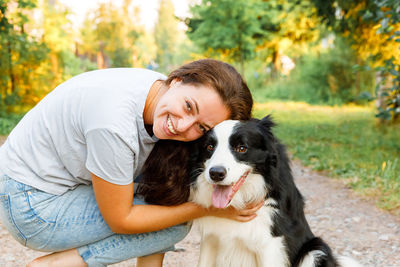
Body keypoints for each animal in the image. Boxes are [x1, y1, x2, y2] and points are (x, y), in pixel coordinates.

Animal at [189, 116, 360, 267]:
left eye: (242, 148)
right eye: (209, 147)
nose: (216, 173)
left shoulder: (270, 244)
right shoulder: (211, 237)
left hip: (316, 249)